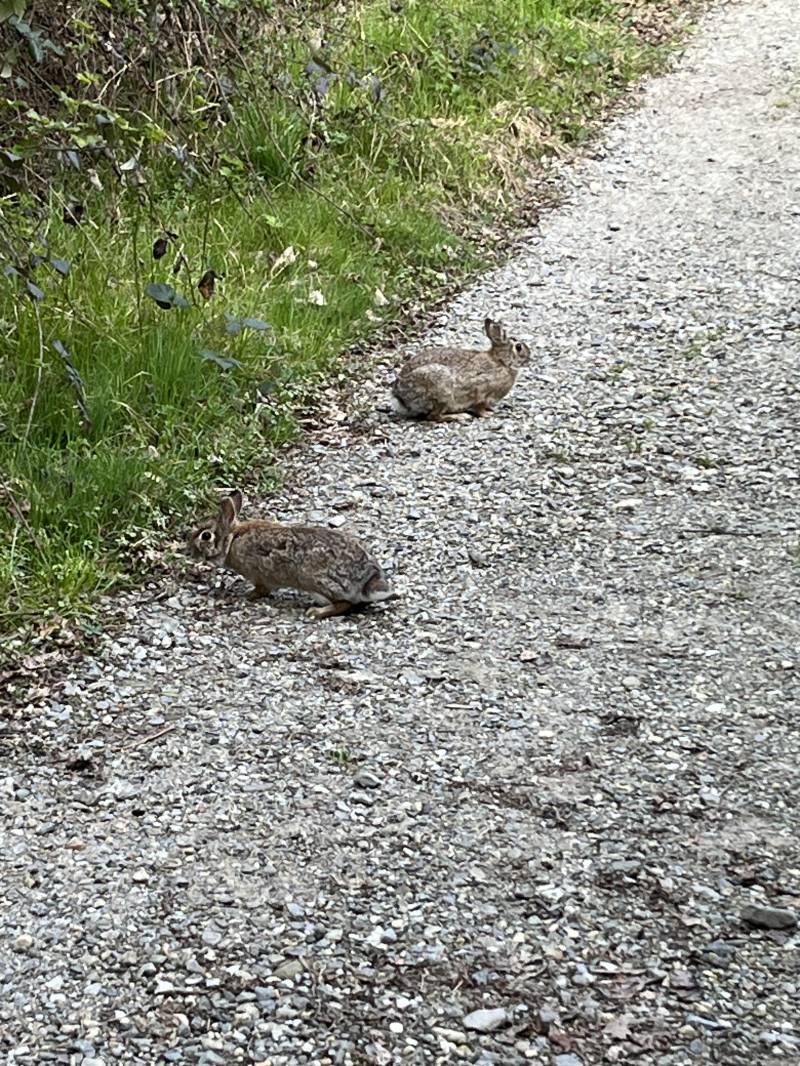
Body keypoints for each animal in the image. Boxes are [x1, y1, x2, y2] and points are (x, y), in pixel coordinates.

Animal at [188, 490, 395, 620]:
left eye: (205, 535)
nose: (189, 551)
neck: (232, 539)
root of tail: (368, 581)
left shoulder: (259, 576)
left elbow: (261, 590)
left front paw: (244, 596)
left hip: (314, 579)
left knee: (344, 604)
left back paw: (316, 612)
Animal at [391, 317, 531, 422]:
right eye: (518, 347)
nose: (529, 357)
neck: (501, 362)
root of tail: (400, 397)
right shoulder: (481, 389)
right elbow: (479, 406)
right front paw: (487, 414)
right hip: (441, 390)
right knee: (434, 416)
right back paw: (460, 416)